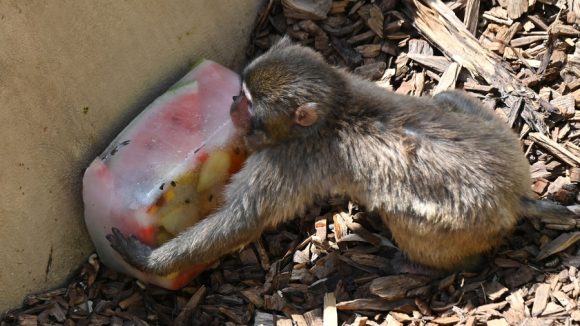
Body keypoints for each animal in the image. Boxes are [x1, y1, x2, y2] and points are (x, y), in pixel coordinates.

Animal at [107, 35, 576, 276]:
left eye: (248, 102)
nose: (232, 106)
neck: (335, 108)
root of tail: (515, 195)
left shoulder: (287, 160)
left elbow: (243, 221)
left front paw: (148, 261)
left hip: (459, 225)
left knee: (409, 223)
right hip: (504, 141)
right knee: (446, 98)